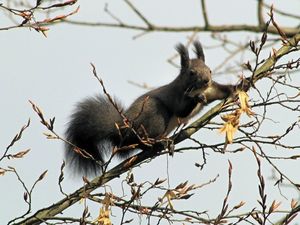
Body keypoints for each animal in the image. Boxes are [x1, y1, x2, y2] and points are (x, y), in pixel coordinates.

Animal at [65, 41, 241, 176]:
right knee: (140, 140)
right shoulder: (177, 97)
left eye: (210, 70)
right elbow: (181, 110)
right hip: (154, 114)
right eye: (191, 72)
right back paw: (157, 143)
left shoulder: (211, 90)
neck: (198, 89)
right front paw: (196, 98)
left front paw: (238, 88)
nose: (206, 80)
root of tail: (124, 128)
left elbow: (221, 91)